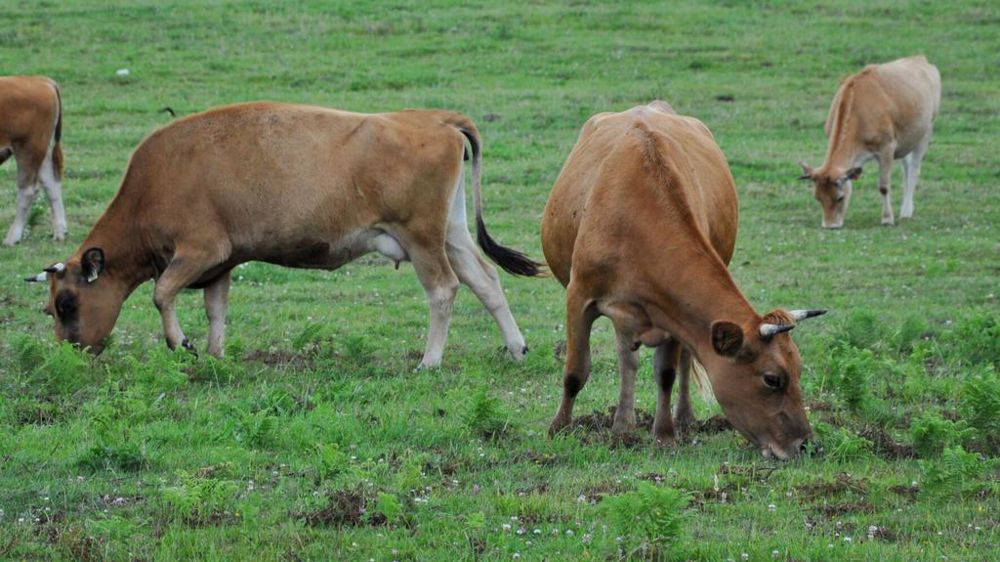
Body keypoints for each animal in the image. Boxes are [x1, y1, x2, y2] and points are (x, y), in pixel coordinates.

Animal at [1, 76, 67, 245]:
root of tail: (41, 80)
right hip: (41, 152)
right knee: (51, 183)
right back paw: (60, 232)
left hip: (28, 150)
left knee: (28, 189)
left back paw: (12, 238)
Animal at [26, 102, 541, 367]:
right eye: (50, 308)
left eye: (67, 303)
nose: (68, 352)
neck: (157, 180)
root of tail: (434, 118)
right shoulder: (221, 264)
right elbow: (216, 310)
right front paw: (214, 353)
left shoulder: (199, 251)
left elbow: (161, 293)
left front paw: (181, 344)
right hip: (450, 233)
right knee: (486, 280)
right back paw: (516, 347)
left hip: (422, 240)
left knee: (444, 289)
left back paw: (429, 362)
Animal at [541, 101, 825, 459]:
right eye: (772, 379)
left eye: (798, 371)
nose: (806, 444)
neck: (634, 219)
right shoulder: (579, 296)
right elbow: (576, 371)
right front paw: (558, 428)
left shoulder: (674, 312)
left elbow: (666, 373)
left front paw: (664, 434)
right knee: (626, 358)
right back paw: (623, 424)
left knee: (680, 359)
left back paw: (681, 418)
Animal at [799, 55, 941, 228]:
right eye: (817, 197)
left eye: (839, 197)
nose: (830, 226)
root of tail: (920, 58)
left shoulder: (887, 147)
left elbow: (884, 186)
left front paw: (887, 218)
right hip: (906, 139)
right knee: (906, 167)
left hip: (926, 131)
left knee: (914, 169)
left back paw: (906, 211)